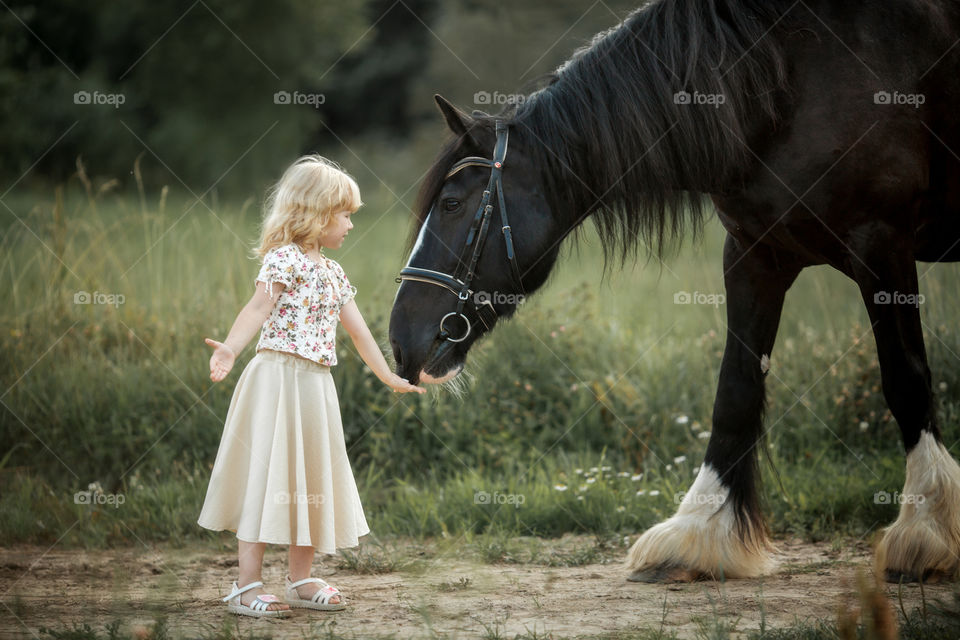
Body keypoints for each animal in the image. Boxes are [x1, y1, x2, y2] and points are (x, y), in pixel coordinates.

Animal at [388, 0, 960, 580]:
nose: (399, 340)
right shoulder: (756, 254)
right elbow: (735, 390)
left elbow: (905, 379)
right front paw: (697, 532)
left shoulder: (881, 243)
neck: (785, 86)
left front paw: (924, 531)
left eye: (452, 203)